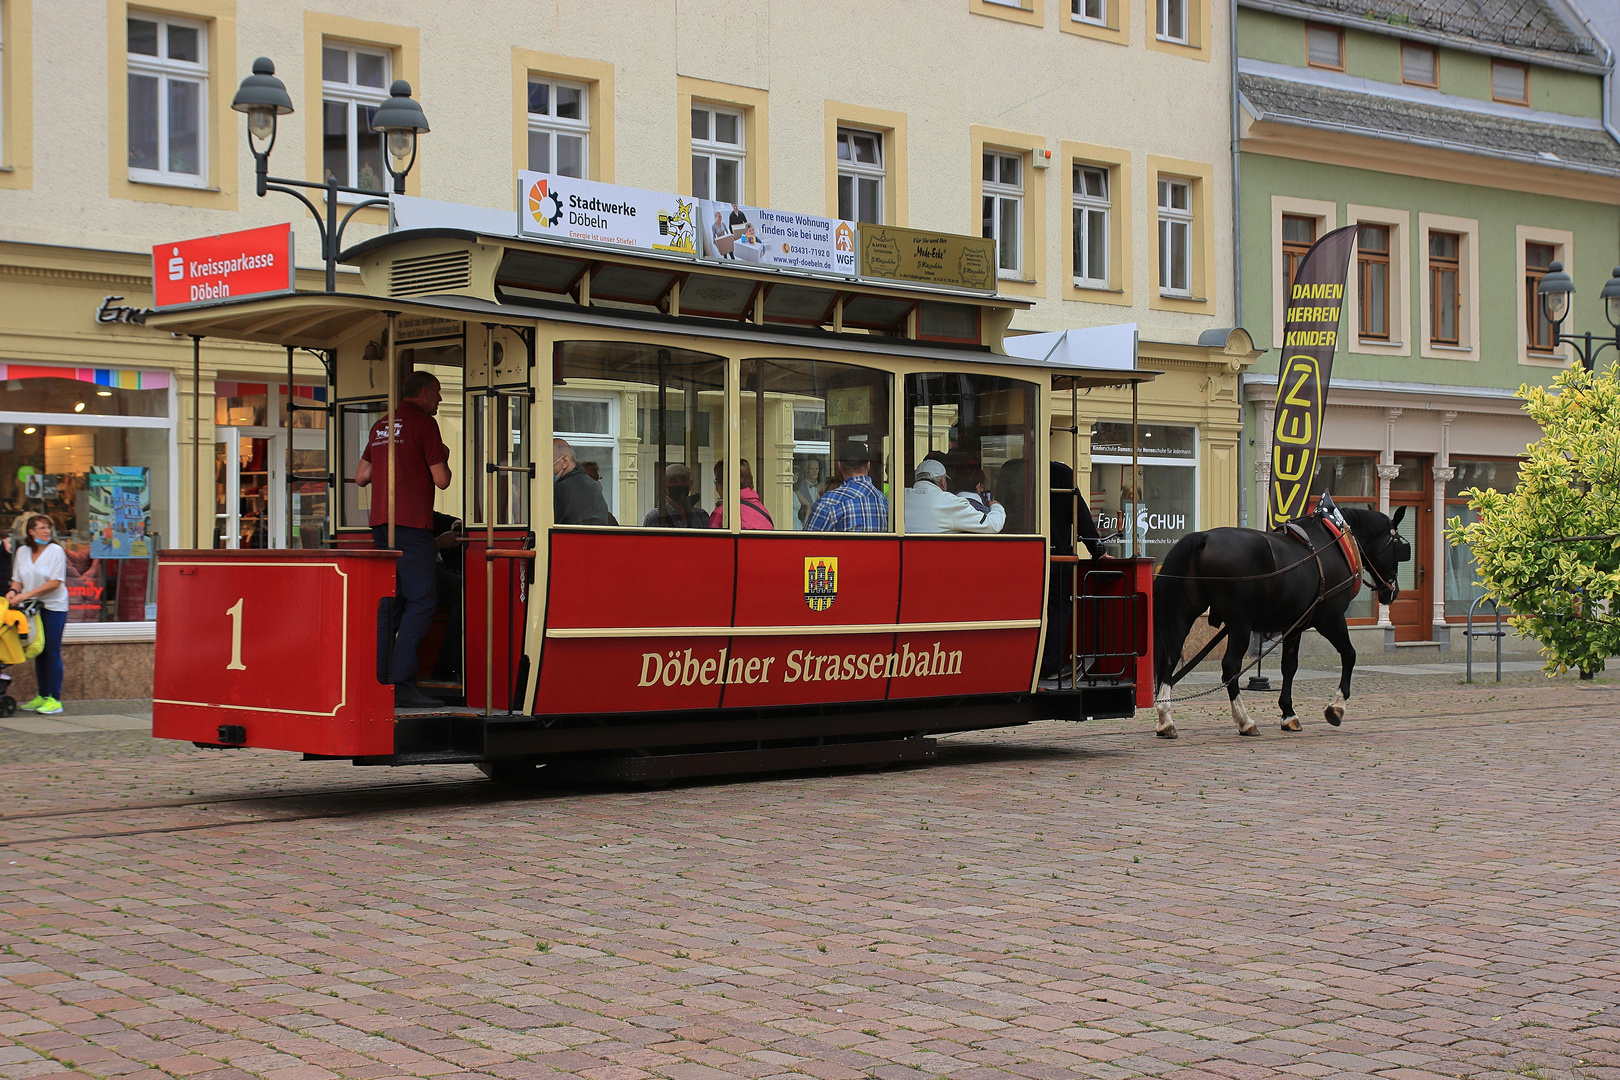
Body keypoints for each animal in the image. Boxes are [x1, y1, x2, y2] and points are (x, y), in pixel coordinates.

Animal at [1153, 505, 1406, 735]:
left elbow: (1289, 666)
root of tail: (1204, 537)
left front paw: (1288, 714)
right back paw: (1245, 720)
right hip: (1240, 625)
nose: (1392, 591)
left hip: (1184, 614)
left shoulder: (1294, 625)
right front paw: (1336, 707)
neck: (1335, 540)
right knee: (1230, 667)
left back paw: (1166, 719)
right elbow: (1349, 655)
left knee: (1170, 657)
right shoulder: (1331, 619)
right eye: (1400, 548)